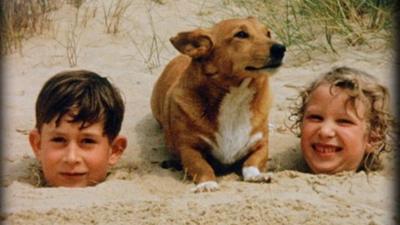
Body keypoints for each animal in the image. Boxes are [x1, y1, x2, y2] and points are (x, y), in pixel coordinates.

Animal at [150, 16, 284, 192]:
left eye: (268, 33)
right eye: (241, 34)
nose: (281, 48)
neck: (236, 96)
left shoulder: (261, 145)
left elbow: (252, 162)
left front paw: (256, 175)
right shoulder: (188, 149)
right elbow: (202, 166)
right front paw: (207, 183)